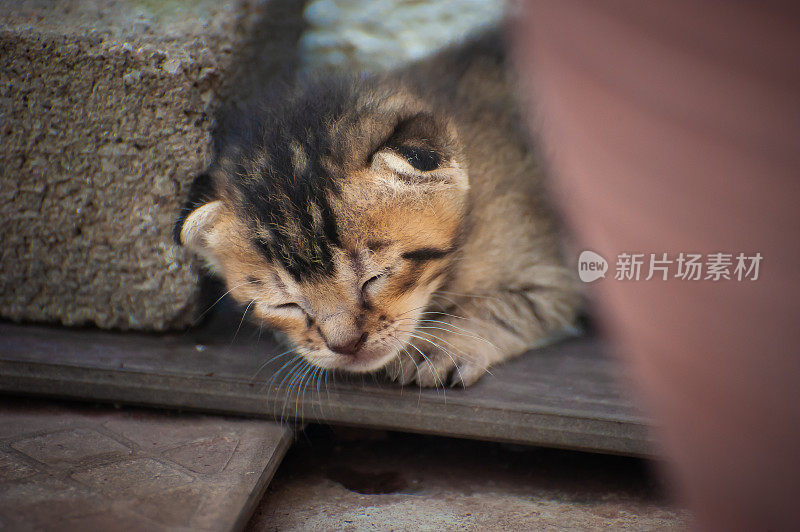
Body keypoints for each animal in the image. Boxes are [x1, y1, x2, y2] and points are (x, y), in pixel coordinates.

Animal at [173, 32, 580, 386]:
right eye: (286, 304)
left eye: (375, 277)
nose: (345, 346)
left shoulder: (557, 273)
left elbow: (504, 308)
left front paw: (444, 344)